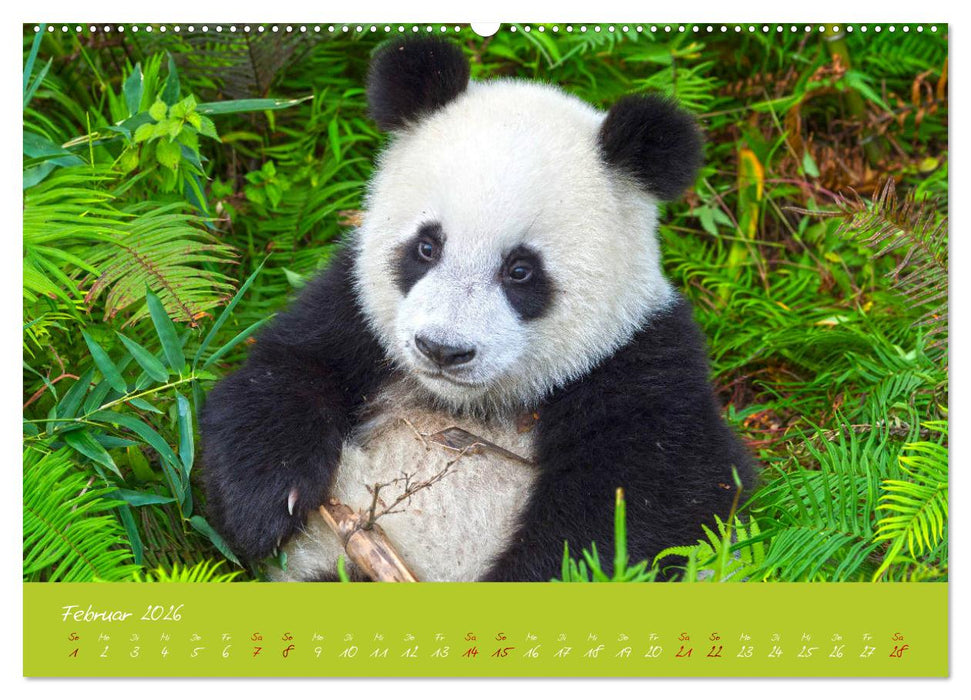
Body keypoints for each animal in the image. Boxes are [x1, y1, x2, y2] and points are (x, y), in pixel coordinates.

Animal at [200, 37, 755, 582]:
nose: (442, 350)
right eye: (426, 247)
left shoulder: (638, 358)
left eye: (521, 271)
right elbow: (283, 372)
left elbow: (651, 500)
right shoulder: (352, 307)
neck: (465, 406)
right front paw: (268, 503)